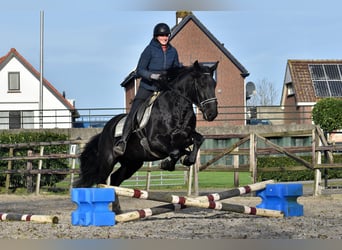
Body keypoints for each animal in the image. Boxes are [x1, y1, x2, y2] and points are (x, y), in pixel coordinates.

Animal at [75, 61, 219, 211]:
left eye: (214, 84)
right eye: (201, 84)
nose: (212, 113)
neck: (177, 109)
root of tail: (105, 129)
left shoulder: (186, 136)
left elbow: (197, 140)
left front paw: (186, 159)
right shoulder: (154, 141)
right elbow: (174, 152)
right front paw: (167, 164)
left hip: (131, 164)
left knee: (114, 180)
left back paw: (118, 210)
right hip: (108, 160)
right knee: (102, 182)